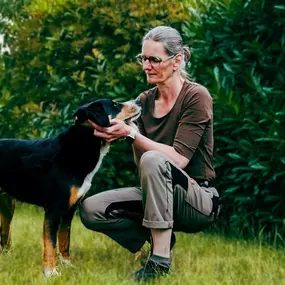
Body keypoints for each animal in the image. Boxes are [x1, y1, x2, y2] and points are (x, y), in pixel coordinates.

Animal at [0, 97, 141, 276]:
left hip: (7, 204)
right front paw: (50, 272)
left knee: (4, 234)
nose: (138, 101)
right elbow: (51, 243)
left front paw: (67, 265)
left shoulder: (70, 209)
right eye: (115, 105)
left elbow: (64, 239)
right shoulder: (53, 209)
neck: (79, 147)